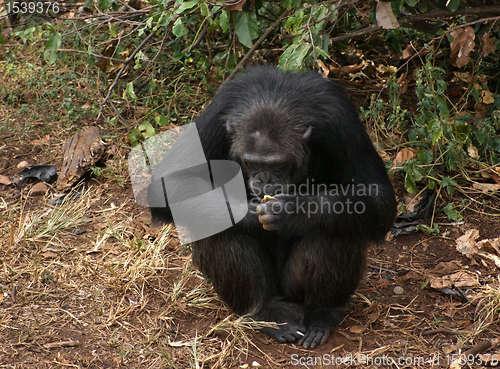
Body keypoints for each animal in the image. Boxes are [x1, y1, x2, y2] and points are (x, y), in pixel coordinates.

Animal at [148, 67, 394, 348]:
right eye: (251, 162)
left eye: (278, 164)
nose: (264, 179)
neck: (274, 98)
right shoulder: (218, 110)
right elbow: (170, 180)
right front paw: (248, 215)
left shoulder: (341, 119)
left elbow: (376, 195)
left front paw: (296, 212)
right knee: (215, 225)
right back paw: (266, 312)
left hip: (293, 287)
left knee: (339, 226)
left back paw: (322, 313)